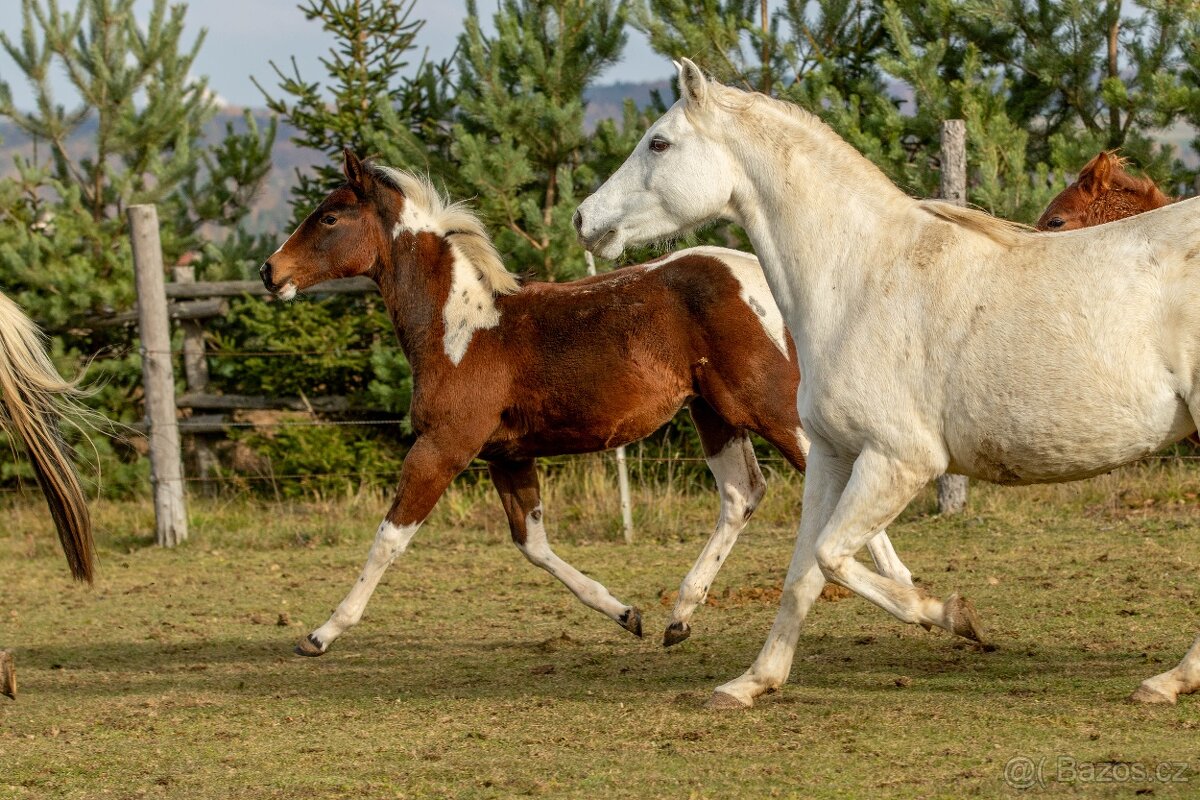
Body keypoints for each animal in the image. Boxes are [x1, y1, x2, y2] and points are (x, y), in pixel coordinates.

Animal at [259, 149, 918, 660]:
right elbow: (533, 544)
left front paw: (321, 633)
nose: (270, 271)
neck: (461, 328)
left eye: (330, 215)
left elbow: (390, 539)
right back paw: (680, 617)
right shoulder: (506, 455)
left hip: (771, 406)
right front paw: (627, 614)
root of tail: (761, 276)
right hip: (714, 412)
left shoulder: (444, 446)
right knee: (742, 493)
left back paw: (903, 592)